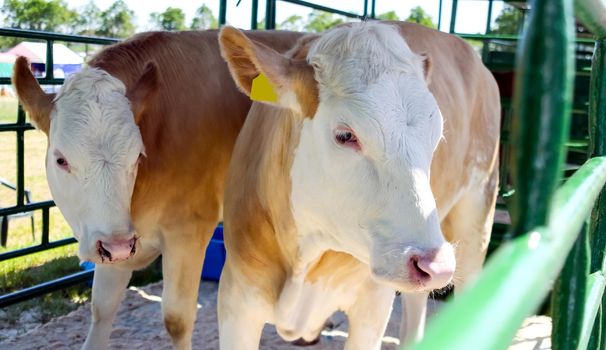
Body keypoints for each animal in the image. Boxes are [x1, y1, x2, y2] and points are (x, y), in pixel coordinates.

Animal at [13, 30, 308, 350]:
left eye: (137, 157)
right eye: (61, 159)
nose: (117, 245)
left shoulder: (188, 231)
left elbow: (177, 319)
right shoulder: (113, 238)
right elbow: (101, 309)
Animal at [218, 21, 504, 348]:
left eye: (435, 138)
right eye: (345, 135)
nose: (436, 265)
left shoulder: (373, 306)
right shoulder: (236, 298)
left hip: (477, 216)